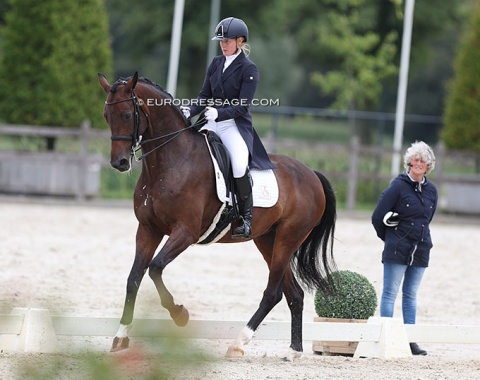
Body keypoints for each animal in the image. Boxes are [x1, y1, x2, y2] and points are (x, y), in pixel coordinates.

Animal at [97, 72, 338, 360]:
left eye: (126, 114)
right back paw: (293, 350)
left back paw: (239, 342)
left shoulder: (185, 232)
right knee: (294, 294)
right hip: (268, 240)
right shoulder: (147, 229)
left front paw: (180, 315)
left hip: (288, 238)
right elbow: (134, 278)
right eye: (106, 115)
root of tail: (312, 174)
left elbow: (155, 268)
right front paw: (121, 337)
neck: (170, 163)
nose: (119, 163)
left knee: (273, 293)